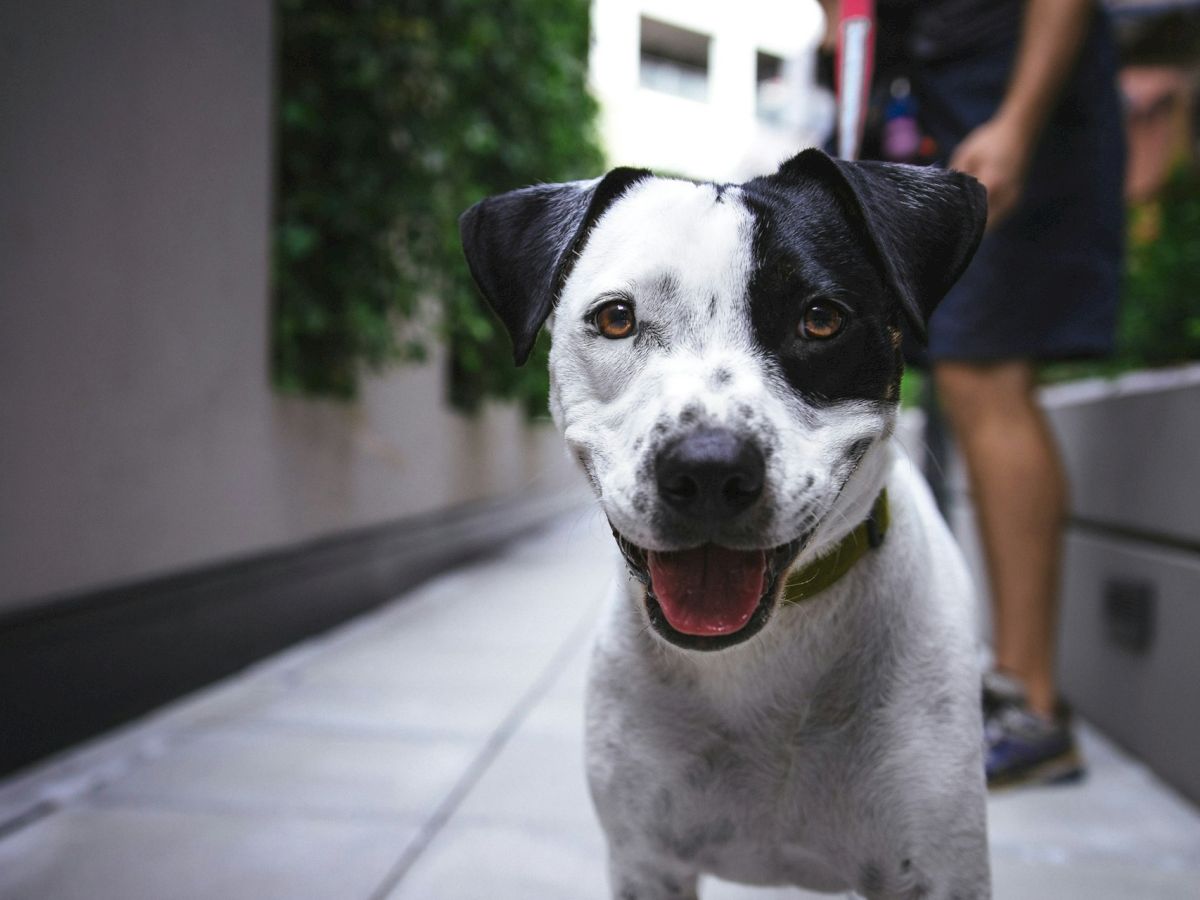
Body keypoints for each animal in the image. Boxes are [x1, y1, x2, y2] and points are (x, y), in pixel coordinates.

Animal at [453, 150, 988, 900]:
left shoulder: (939, 868)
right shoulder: (647, 862)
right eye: (615, 318)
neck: (762, 658)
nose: (708, 469)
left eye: (821, 319)